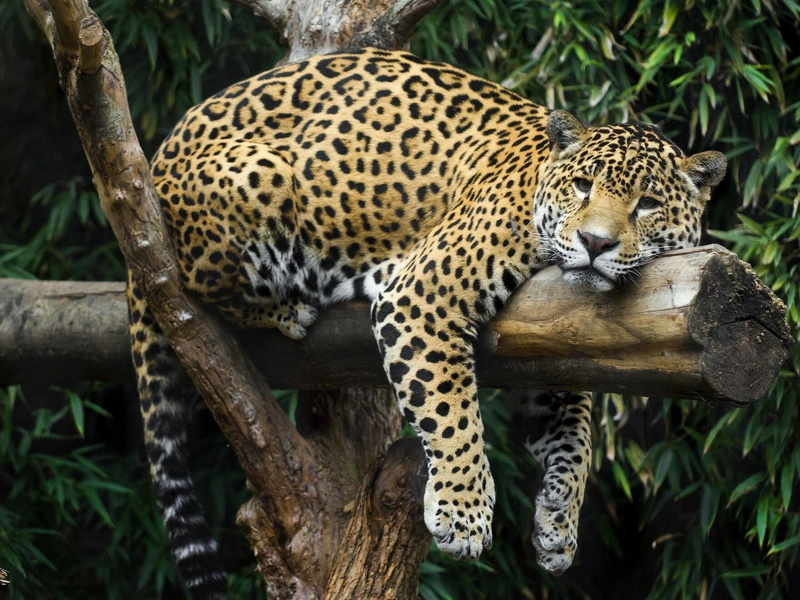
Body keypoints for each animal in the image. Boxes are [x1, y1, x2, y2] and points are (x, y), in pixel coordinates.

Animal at [128, 46, 726, 599]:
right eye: (582, 186)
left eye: (647, 203)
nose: (595, 242)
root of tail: (154, 161)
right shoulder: (422, 295)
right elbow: (451, 410)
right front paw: (463, 514)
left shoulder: (545, 347)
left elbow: (574, 439)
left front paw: (558, 525)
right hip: (258, 177)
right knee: (194, 284)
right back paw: (289, 306)